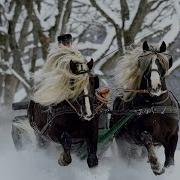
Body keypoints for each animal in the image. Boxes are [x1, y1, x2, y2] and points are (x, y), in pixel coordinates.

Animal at [110, 41, 179, 175]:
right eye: (145, 64)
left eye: (161, 63)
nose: (155, 86)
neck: (156, 106)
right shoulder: (139, 133)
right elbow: (147, 140)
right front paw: (156, 165)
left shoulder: (173, 136)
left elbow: (170, 161)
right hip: (123, 143)